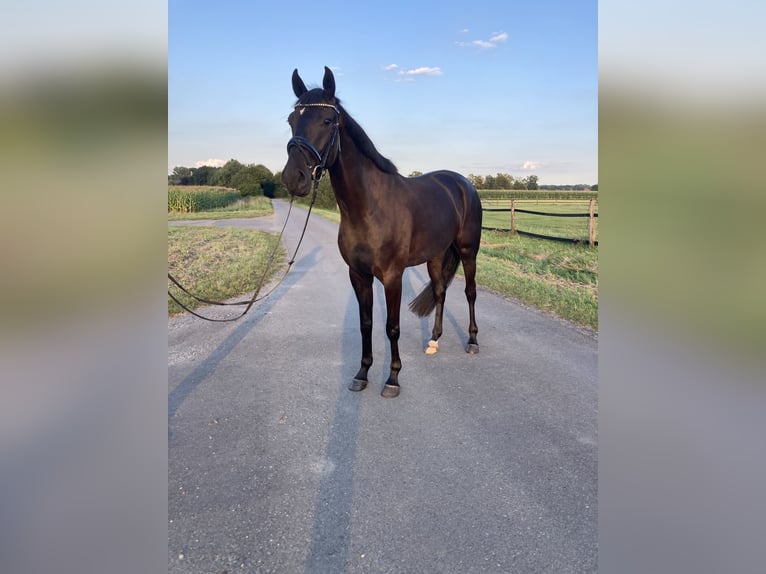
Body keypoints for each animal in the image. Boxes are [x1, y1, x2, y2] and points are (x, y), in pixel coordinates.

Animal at [284, 67, 484, 398]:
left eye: (327, 121)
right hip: (435, 256)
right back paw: (434, 341)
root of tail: (462, 183)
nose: (293, 178)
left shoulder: (392, 276)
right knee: (440, 292)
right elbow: (366, 323)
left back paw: (472, 341)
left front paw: (392, 379)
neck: (369, 207)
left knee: (470, 292)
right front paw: (362, 373)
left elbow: (392, 326)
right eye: (291, 120)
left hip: (468, 251)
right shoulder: (358, 274)